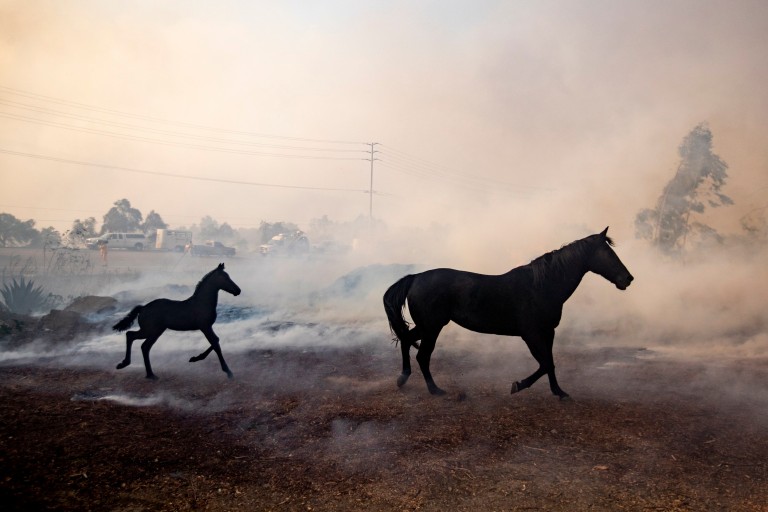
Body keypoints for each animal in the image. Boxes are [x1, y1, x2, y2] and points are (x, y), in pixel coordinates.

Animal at [112, 264, 240, 380]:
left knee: (142, 345)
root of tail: (143, 308)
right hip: (151, 330)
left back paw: (148, 373)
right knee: (133, 337)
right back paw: (130, 366)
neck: (202, 302)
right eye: (225, 278)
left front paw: (194, 358)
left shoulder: (206, 327)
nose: (238, 290)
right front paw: (228, 372)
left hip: (155, 331)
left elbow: (216, 341)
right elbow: (215, 343)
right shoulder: (205, 327)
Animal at [382, 228, 632, 400]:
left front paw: (559, 392)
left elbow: (550, 363)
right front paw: (518, 385)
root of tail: (415, 277)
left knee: (406, 339)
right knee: (423, 355)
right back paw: (435, 389)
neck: (542, 286)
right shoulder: (531, 334)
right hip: (433, 327)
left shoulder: (548, 332)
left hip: (428, 326)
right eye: (608, 253)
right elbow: (545, 364)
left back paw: (403, 378)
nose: (628, 278)